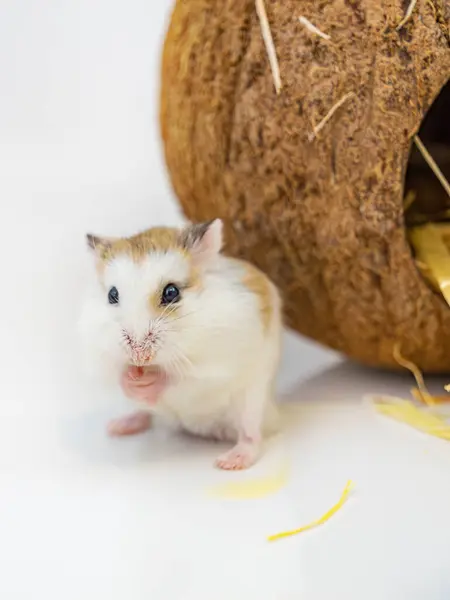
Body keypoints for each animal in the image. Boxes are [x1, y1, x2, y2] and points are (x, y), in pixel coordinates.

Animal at [77, 218, 282, 472]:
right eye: (112, 295)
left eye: (171, 292)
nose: (138, 355)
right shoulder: (100, 357)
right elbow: (118, 376)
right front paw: (132, 379)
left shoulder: (213, 366)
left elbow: (178, 378)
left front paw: (148, 381)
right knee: (148, 415)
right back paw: (118, 427)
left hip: (251, 403)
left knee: (251, 436)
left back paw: (230, 462)